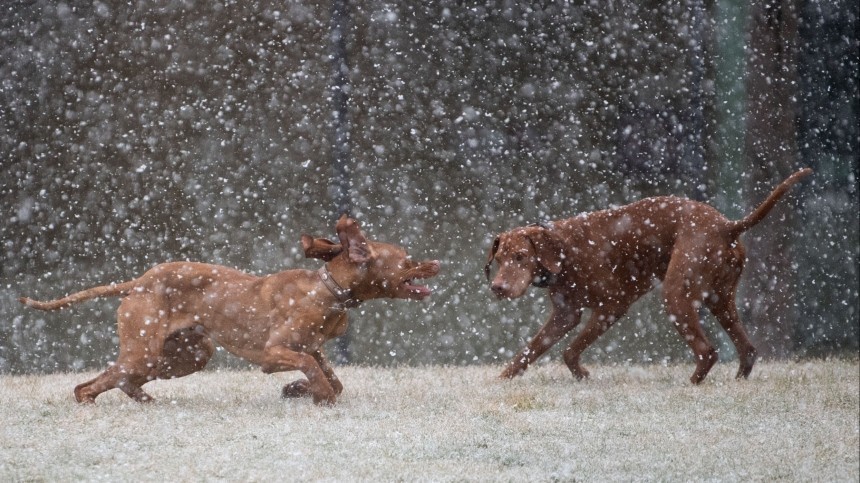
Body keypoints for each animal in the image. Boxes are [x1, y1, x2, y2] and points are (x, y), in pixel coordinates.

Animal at [20, 216, 440, 404]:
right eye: (406, 260)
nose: (436, 262)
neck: (328, 290)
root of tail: (139, 280)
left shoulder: (313, 347)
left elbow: (329, 375)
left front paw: (298, 389)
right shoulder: (274, 353)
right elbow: (318, 376)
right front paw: (317, 394)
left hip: (187, 355)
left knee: (121, 378)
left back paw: (145, 401)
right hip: (146, 351)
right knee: (87, 386)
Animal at [488, 169, 808, 386]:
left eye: (521, 256)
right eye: (499, 259)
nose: (497, 287)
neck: (565, 251)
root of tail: (727, 226)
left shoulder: (612, 306)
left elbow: (568, 351)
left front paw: (582, 375)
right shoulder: (565, 315)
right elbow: (528, 351)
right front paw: (502, 379)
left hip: (676, 296)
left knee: (708, 352)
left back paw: (690, 385)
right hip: (721, 300)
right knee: (748, 349)